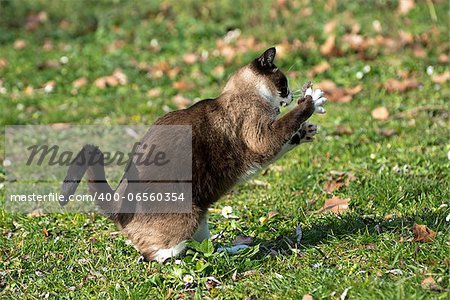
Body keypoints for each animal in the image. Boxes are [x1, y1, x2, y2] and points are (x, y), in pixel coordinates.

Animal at [60, 47, 326, 262]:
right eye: (284, 82)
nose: (290, 96)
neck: (247, 94)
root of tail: (117, 204)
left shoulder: (267, 147)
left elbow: (288, 135)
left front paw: (306, 131)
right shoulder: (261, 138)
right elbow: (288, 122)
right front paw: (311, 101)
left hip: (201, 216)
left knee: (204, 247)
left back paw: (234, 251)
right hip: (189, 215)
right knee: (160, 255)